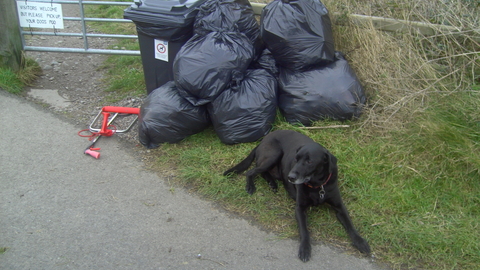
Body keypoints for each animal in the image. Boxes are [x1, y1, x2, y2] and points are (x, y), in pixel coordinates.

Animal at [225, 130, 372, 262]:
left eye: (309, 162)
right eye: (296, 159)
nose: (290, 177)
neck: (317, 186)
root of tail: (264, 139)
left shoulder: (339, 206)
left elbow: (350, 224)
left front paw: (360, 242)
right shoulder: (299, 209)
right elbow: (304, 231)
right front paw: (305, 249)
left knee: (263, 172)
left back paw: (272, 184)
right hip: (273, 155)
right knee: (251, 171)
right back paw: (251, 186)